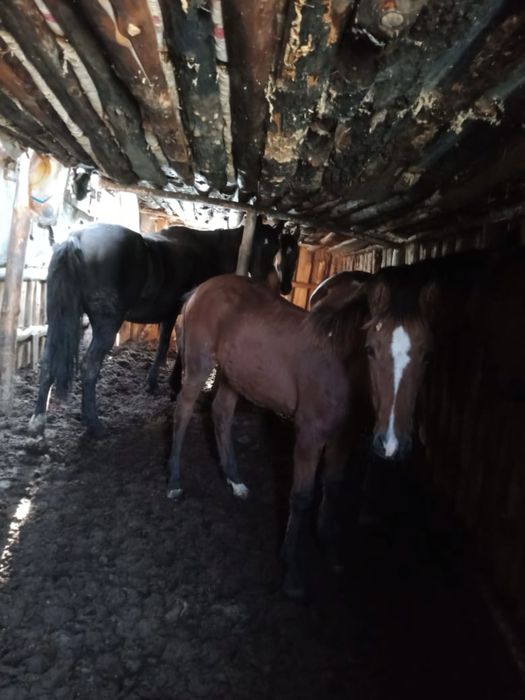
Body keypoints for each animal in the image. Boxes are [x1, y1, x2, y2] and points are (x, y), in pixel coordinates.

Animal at [29, 218, 298, 438]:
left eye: (276, 247)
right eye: (259, 243)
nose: (267, 283)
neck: (209, 252)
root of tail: (74, 240)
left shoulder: (168, 315)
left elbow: (163, 346)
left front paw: (156, 382)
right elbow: (177, 349)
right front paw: (173, 384)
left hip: (61, 318)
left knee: (48, 361)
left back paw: (38, 422)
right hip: (106, 325)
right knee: (89, 367)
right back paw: (94, 425)